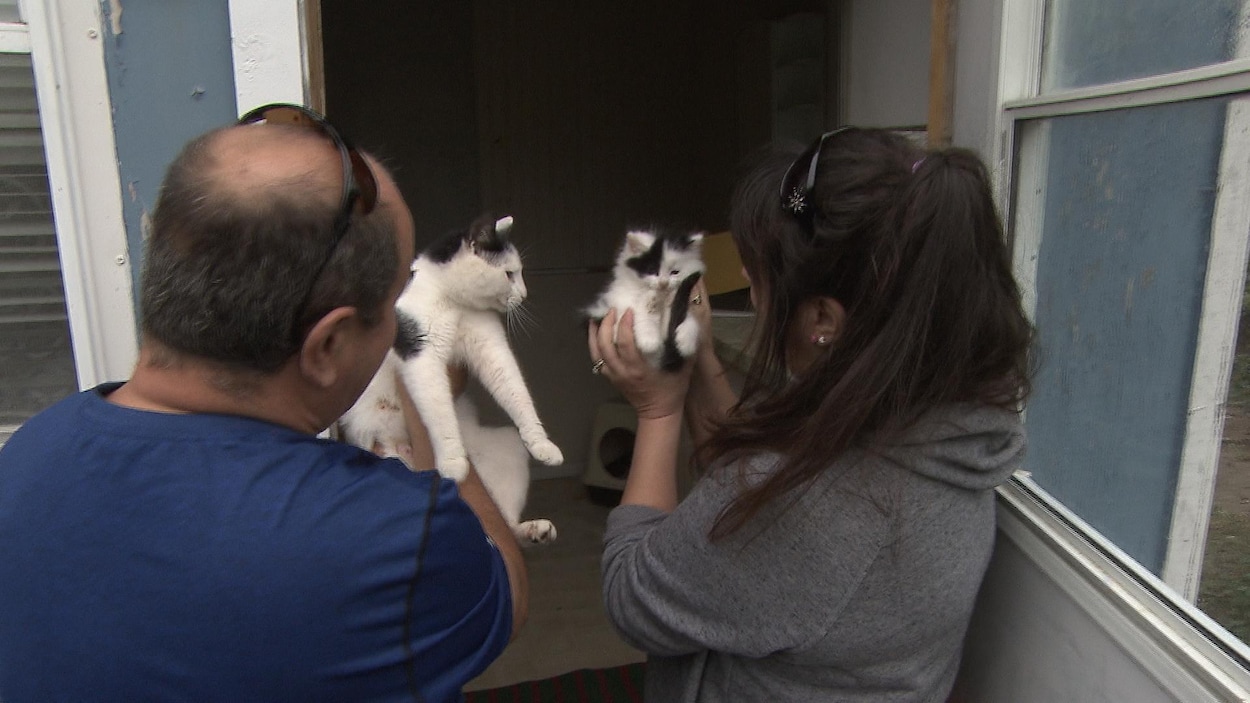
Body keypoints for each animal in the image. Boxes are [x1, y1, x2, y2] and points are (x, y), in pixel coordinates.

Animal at [340, 213, 560, 542]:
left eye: (519, 274)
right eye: (509, 273)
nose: (524, 295)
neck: (453, 302)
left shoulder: (492, 351)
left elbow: (518, 395)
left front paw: (542, 444)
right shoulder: (422, 358)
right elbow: (440, 415)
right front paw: (453, 462)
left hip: (509, 449)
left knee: (504, 525)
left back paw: (534, 530)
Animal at [585, 228, 705, 372]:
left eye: (675, 272)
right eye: (652, 270)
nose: (663, 283)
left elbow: (683, 317)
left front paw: (686, 341)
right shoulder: (618, 307)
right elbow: (639, 312)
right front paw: (649, 338)